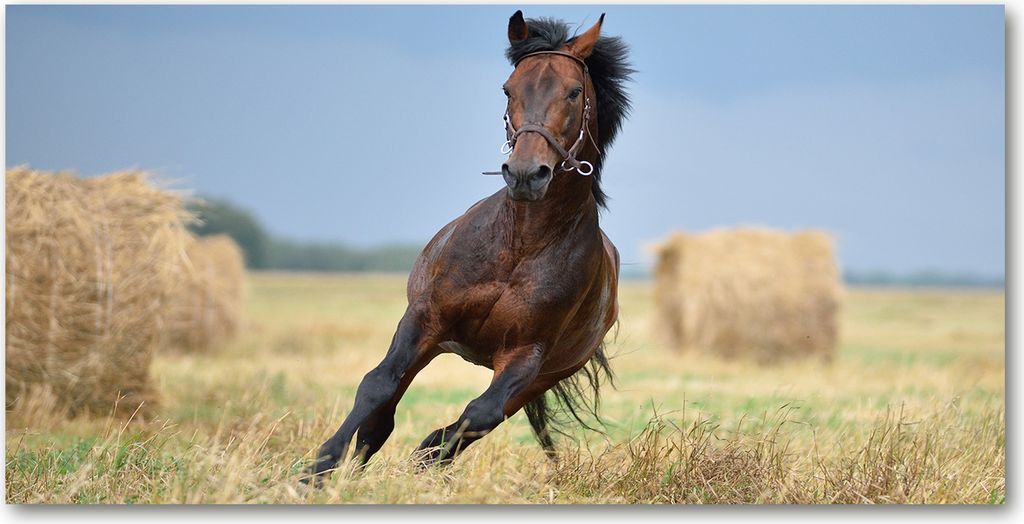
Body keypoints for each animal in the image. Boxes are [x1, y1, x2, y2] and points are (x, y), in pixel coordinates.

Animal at [304, 10, 633, 483]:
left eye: (574, 92)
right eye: (508, 88)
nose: (526, 173)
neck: (520, 245)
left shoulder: (526, 355)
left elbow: (478, 415)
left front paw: (418, 462)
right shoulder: (424, 319)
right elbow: (377, 386)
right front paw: (318, 470)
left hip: (542, 376)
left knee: (475, 422)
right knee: (383, 416)